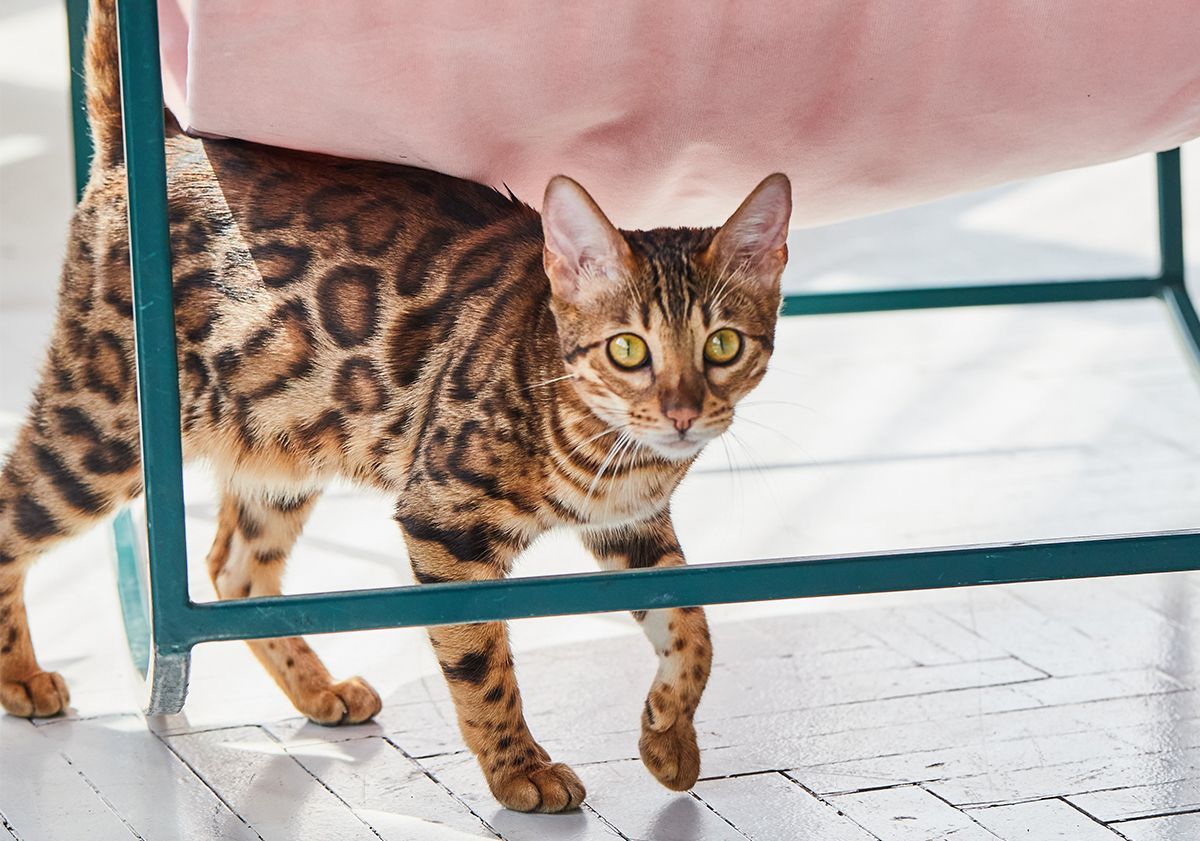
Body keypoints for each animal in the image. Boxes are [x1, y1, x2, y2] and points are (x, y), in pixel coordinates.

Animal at [0, 0, 792, 815]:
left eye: (723, 344)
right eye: (629, 349)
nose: (683, 414)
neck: (608, 451)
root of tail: (153, 141)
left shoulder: (632, 528)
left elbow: (694, 625)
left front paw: (669, 736)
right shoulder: (444, 522)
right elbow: (480, 661)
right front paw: (519, 770)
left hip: (283, 437)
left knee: (234, 569)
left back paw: (318, 690)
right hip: (104, 424)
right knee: (13, 511)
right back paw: (21, 677)